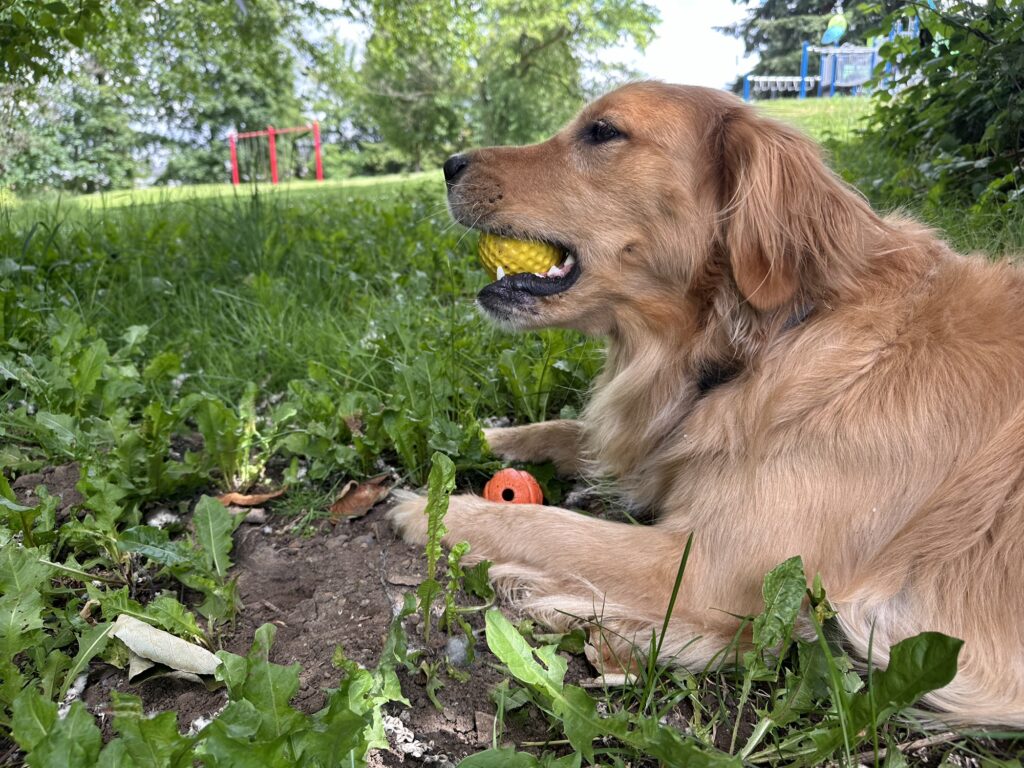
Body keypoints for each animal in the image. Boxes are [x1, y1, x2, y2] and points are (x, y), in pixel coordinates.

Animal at [385, 83, 1024, 729]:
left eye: (603, 132)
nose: (448, 165)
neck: (766, 337)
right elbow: (565, 429)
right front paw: (475, 440)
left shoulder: (704, 573)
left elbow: (548, 525)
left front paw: (432, 512)